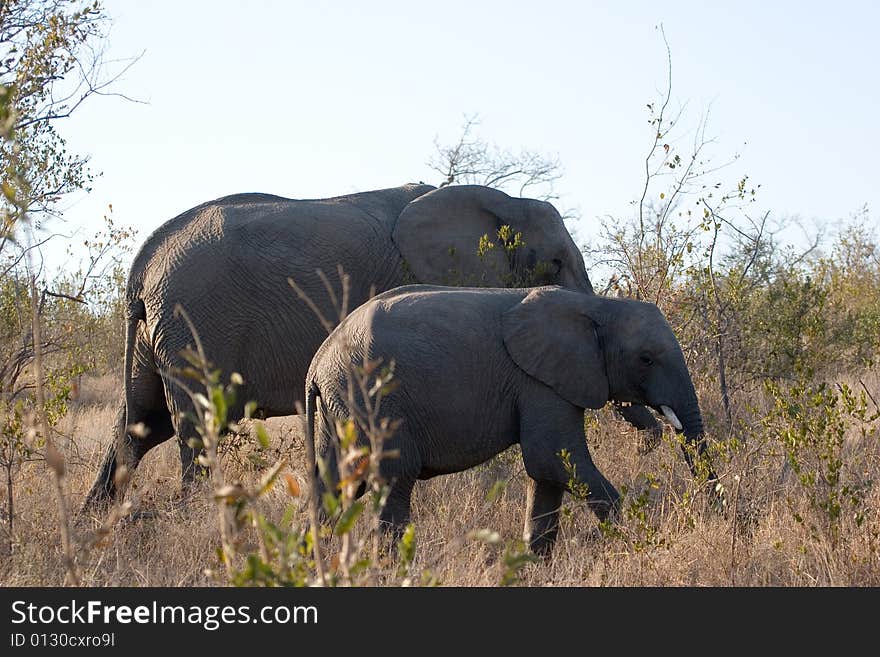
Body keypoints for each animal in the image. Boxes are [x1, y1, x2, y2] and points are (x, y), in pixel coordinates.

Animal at [84, 184, 660, 508]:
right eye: (556, 264)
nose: (651, 444)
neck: (498, 202)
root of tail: (144, 261)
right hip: (195, 324)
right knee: (193, 428)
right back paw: (198, 519)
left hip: (161, 331)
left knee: (141, 423)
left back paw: (100, 520)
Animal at [304, 284, 708, 552]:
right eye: (646, 359)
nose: (713, 511)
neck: (596, 307)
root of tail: (317, 364)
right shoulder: (538, 382)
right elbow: (551, 458)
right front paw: (622, 544)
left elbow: (547, 473)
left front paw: (536, 566)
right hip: (371, 398)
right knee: (393, 478)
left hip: (338, 408)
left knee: (334, 484)